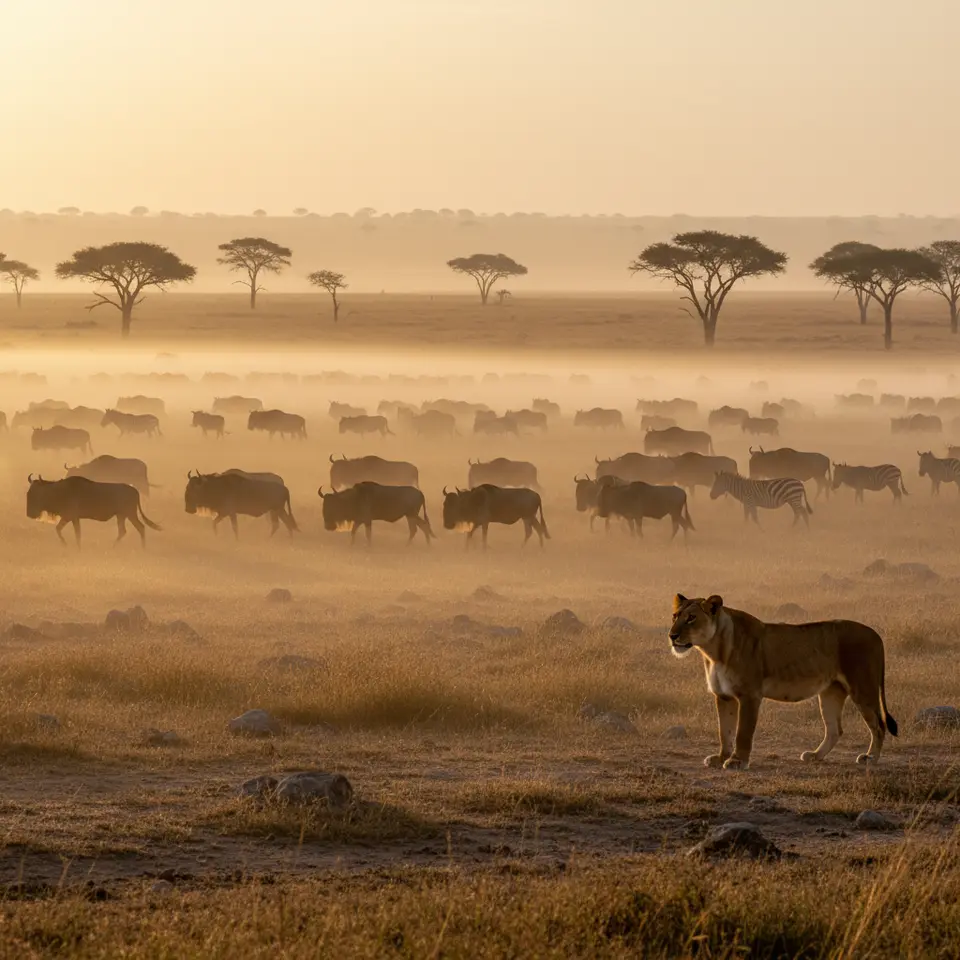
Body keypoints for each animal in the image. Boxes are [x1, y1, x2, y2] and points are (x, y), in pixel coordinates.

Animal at [669, 594, 897, 770]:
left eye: (691, 618)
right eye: (675, 616)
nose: (672, 635)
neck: (713, 651)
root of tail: (875, 634)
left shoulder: (749, 695)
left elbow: (742, 732)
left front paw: (737, 761)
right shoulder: (724, 696)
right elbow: (725, 732)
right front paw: (721, 758)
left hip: (863, 688)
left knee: (878, 726)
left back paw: (870, 758)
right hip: (831, 692)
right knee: (835, 729)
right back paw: (815, 755)